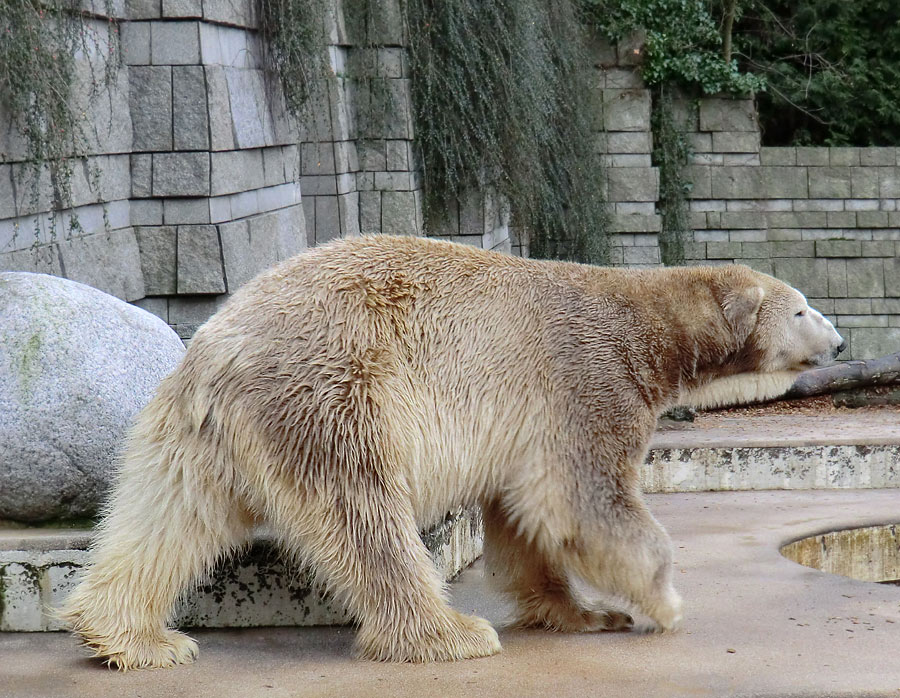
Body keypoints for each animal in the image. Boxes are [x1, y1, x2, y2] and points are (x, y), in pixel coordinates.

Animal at [61, 234, 844, 664]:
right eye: (802, 307)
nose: (839, 342)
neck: (643, 326)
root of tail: (217, 351)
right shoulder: (586, 378)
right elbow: (586, 503)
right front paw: (662, 603)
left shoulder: (528, 427)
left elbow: (523, 524)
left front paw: (585, 613)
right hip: (335, 388)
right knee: (364, 512)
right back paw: (449, 632)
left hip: (193, 434)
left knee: (168, 517)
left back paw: (130, 637)